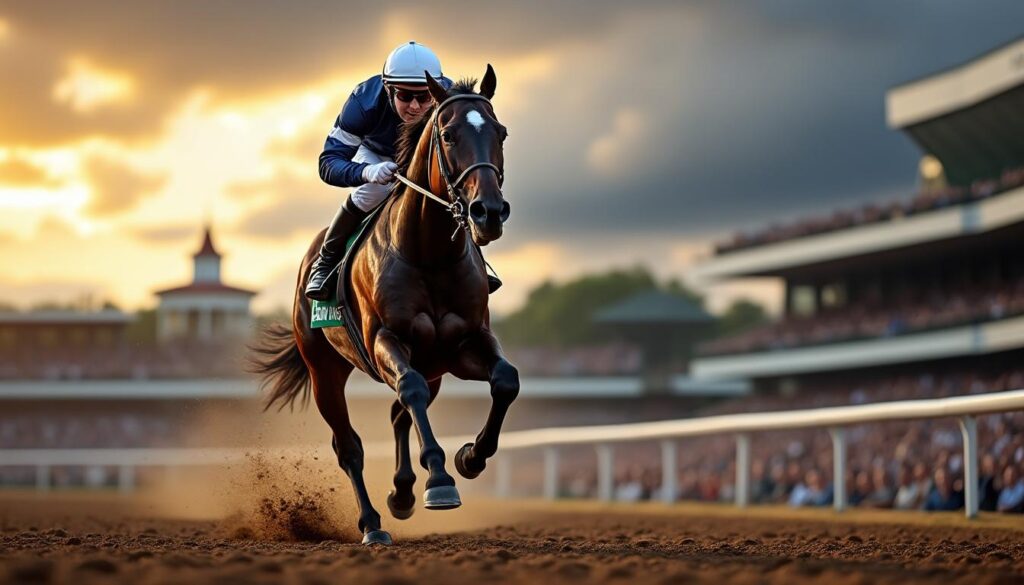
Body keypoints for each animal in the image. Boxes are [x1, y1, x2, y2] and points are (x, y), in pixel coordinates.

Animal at [249, 65, 518, 546]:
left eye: (501, 132)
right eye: (448, 135)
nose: (488, 212)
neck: (430, 254)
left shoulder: (464, 344)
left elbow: (505, 380)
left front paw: (469, 458)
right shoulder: (384, 341)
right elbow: (408, 390)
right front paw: (441, 482)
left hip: (433, 366)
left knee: (399, 413)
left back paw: (403, 492)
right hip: (324, 371)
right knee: (350, 446)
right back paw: (373, 523)